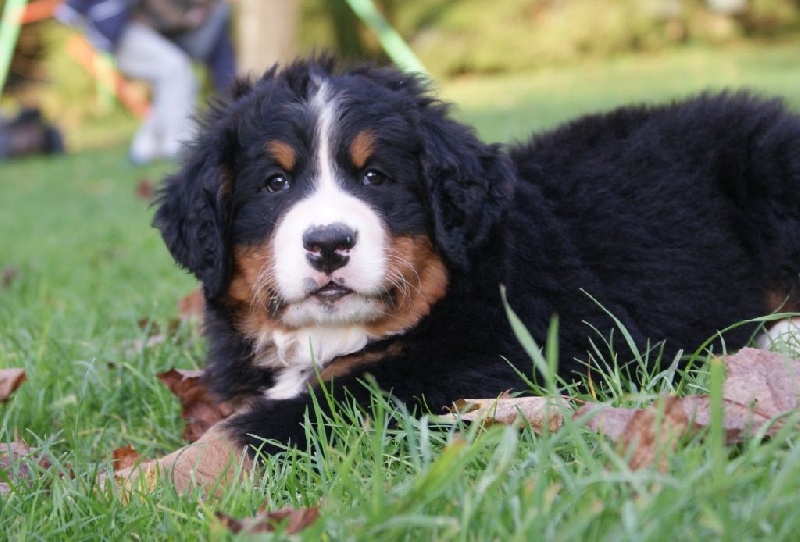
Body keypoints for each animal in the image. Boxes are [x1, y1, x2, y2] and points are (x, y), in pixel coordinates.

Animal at [117, 58, 800, 492]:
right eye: (275, 184)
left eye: (377, 177)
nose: (329, 244)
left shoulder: (460, 371)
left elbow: (268, 427)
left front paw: (129, 483)